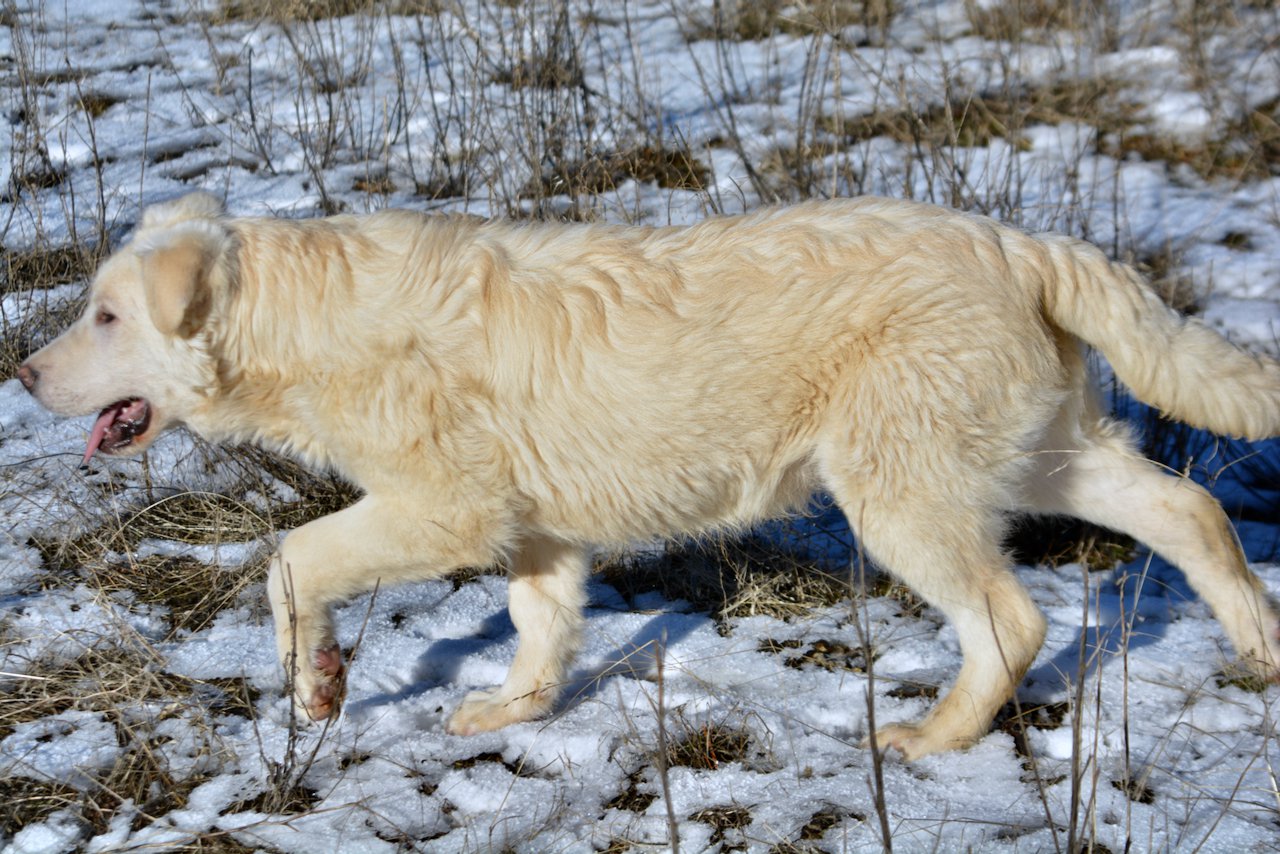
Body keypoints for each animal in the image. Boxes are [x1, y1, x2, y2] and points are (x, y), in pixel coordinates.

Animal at [20, 195, 1280, 763]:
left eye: (106, 315)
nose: (22, 373)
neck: (302, 324)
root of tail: (1017, 243)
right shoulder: (531, 526)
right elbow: (540, 626)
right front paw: (510, 712)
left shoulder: (444, 507)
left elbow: (294, 560)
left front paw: (319, 684)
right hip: (1039, 448)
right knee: (1187, 507)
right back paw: (1260, 647)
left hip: (903, 489)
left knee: (1011, 618)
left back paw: (932, 739)